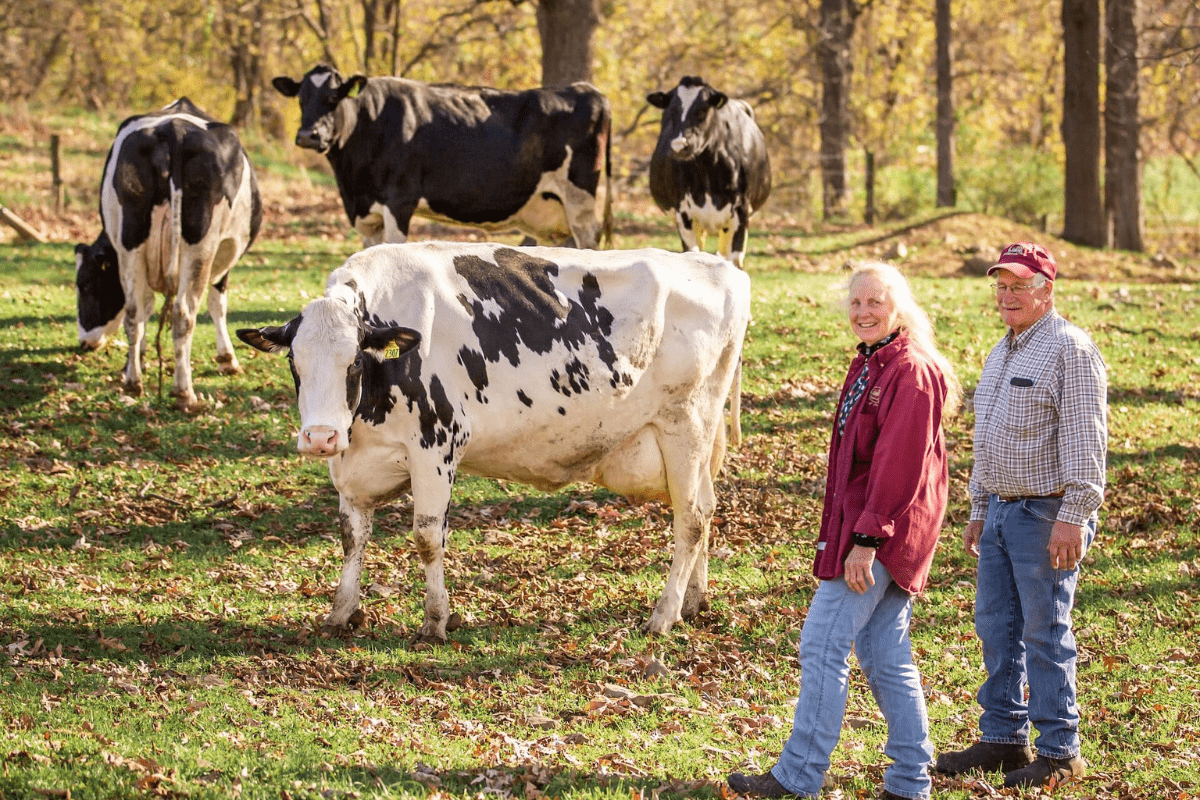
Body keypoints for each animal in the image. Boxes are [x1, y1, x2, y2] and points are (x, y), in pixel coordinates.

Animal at [73, 98, 261, 412]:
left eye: (85, 285)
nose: (83, 343)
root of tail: (174, 130)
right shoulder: (223, 256)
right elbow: (217, 304)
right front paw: (227, 360)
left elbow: (147, 307)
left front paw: (137, 360)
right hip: (201, 246)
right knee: (184, 313)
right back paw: (185, 393)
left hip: (131, 240)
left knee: (134, 312)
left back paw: (133, 382)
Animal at [234, 239, 748, 642]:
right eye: (294, 363)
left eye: (355, 362)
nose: (320, 437)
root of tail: (720, 267)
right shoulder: (353, 466)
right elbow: (351, 537)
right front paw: (341, 612)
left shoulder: (437, 445)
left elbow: (427, 537)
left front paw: (436, 620)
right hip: (694, 440)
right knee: (706, 506)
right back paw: (694, 602)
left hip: (685, 423)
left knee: (690, 519)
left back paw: (664, 615)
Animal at [276, 67, 614, 251]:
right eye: (301, 99)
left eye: (333, 98)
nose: (307, 135)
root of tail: (585, 89)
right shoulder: (365, 214)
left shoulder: (399, 200)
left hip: (579, 200)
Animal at [648, 78, 768, 272]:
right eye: (672, 110)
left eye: (703, 110)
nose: (680, 145)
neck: (707, 171)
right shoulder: (683, 213)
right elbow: (692, 254)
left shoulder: (741, 211)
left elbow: (735, 260)